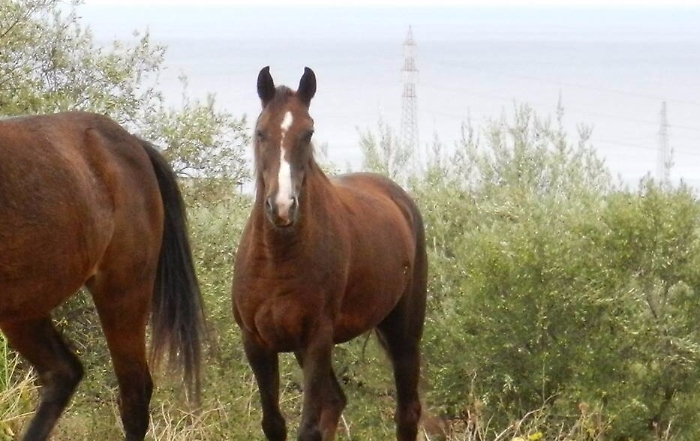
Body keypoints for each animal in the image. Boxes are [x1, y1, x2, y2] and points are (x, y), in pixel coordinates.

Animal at [232, 66, 428, 441]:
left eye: (308, 132)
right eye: (261, 131)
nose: (282, 207)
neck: (277, 259)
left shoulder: (317, 341)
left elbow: (308, 426)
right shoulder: (257, 344)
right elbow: (274, 424)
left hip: (404, 333)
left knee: (407, 412)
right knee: (336, 401)